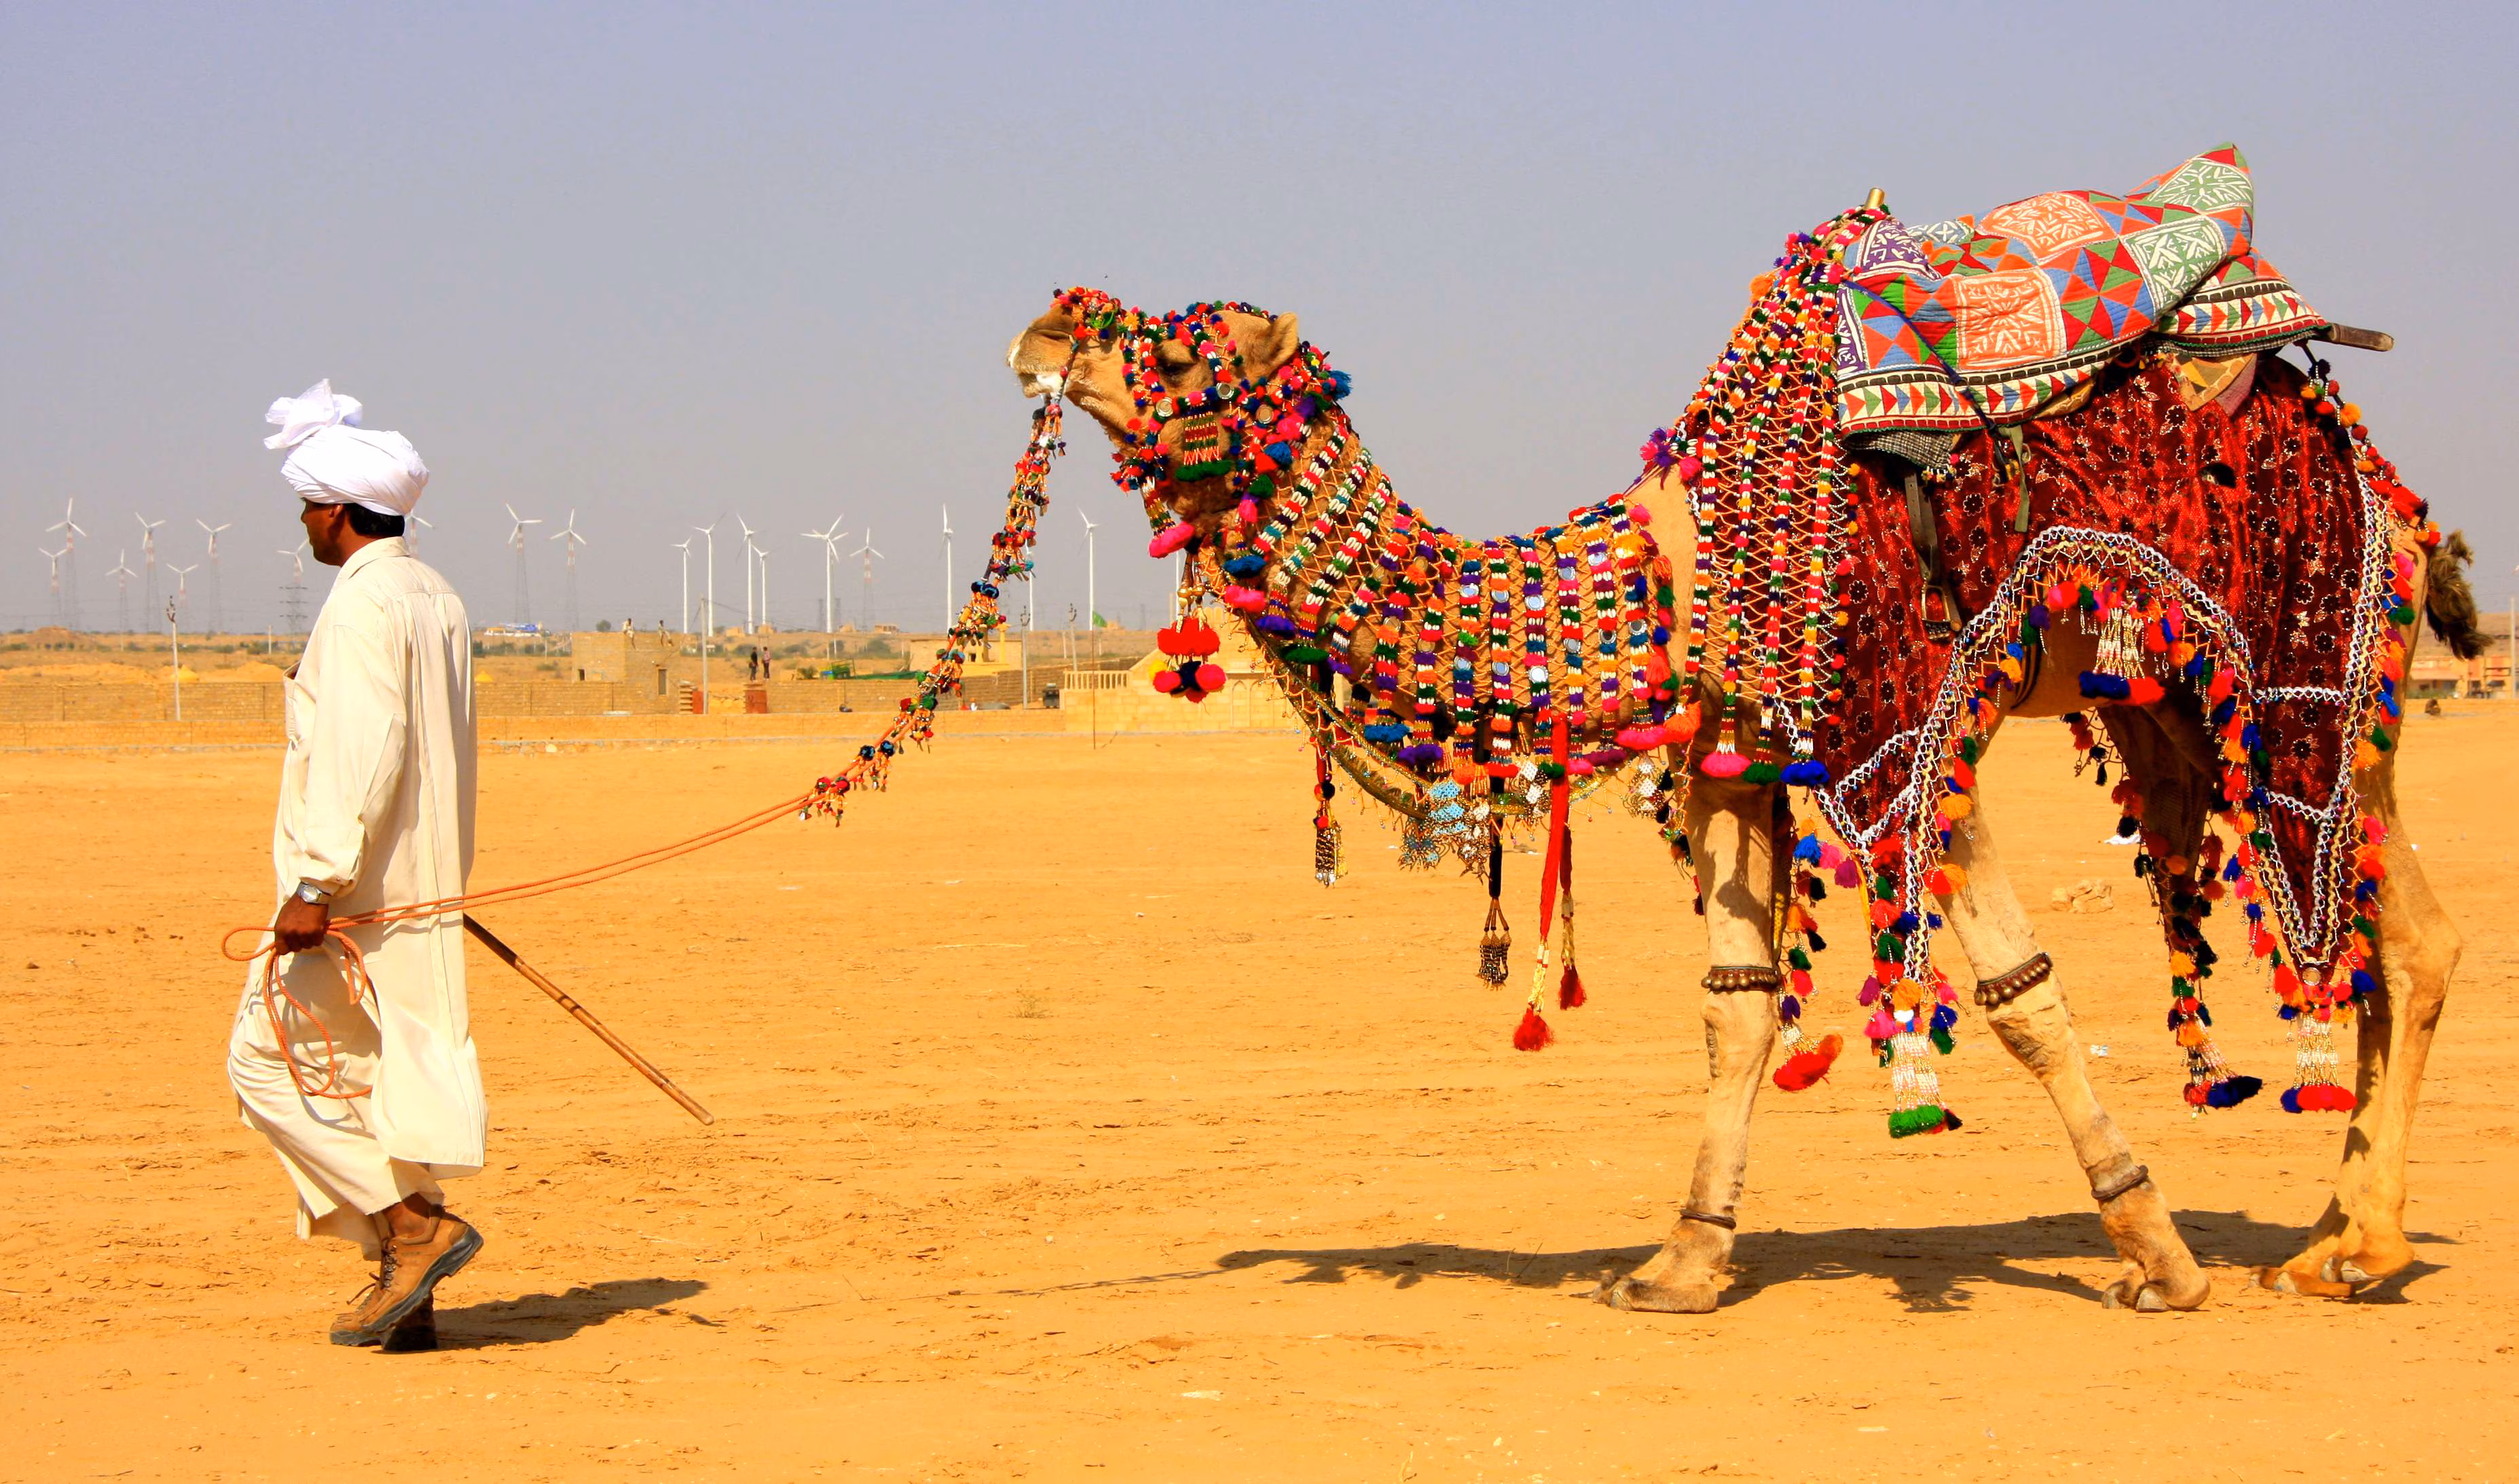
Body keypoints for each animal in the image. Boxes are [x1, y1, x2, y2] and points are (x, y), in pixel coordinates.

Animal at [1006, 284, 2477, 1313]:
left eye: (1183, 347)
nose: (1045, 325)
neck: (1657, 568)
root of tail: (2401, 503)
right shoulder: (1732, 757)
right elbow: (1736, 1007)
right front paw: (1680, 1261)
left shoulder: (1903, 726)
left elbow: (2024, 1000)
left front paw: (2158, 1256)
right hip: (2193, 706)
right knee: (2369, 936)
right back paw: (2332, 1241)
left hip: (2303, 683)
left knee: (2406, 935)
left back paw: (2353, 1250)